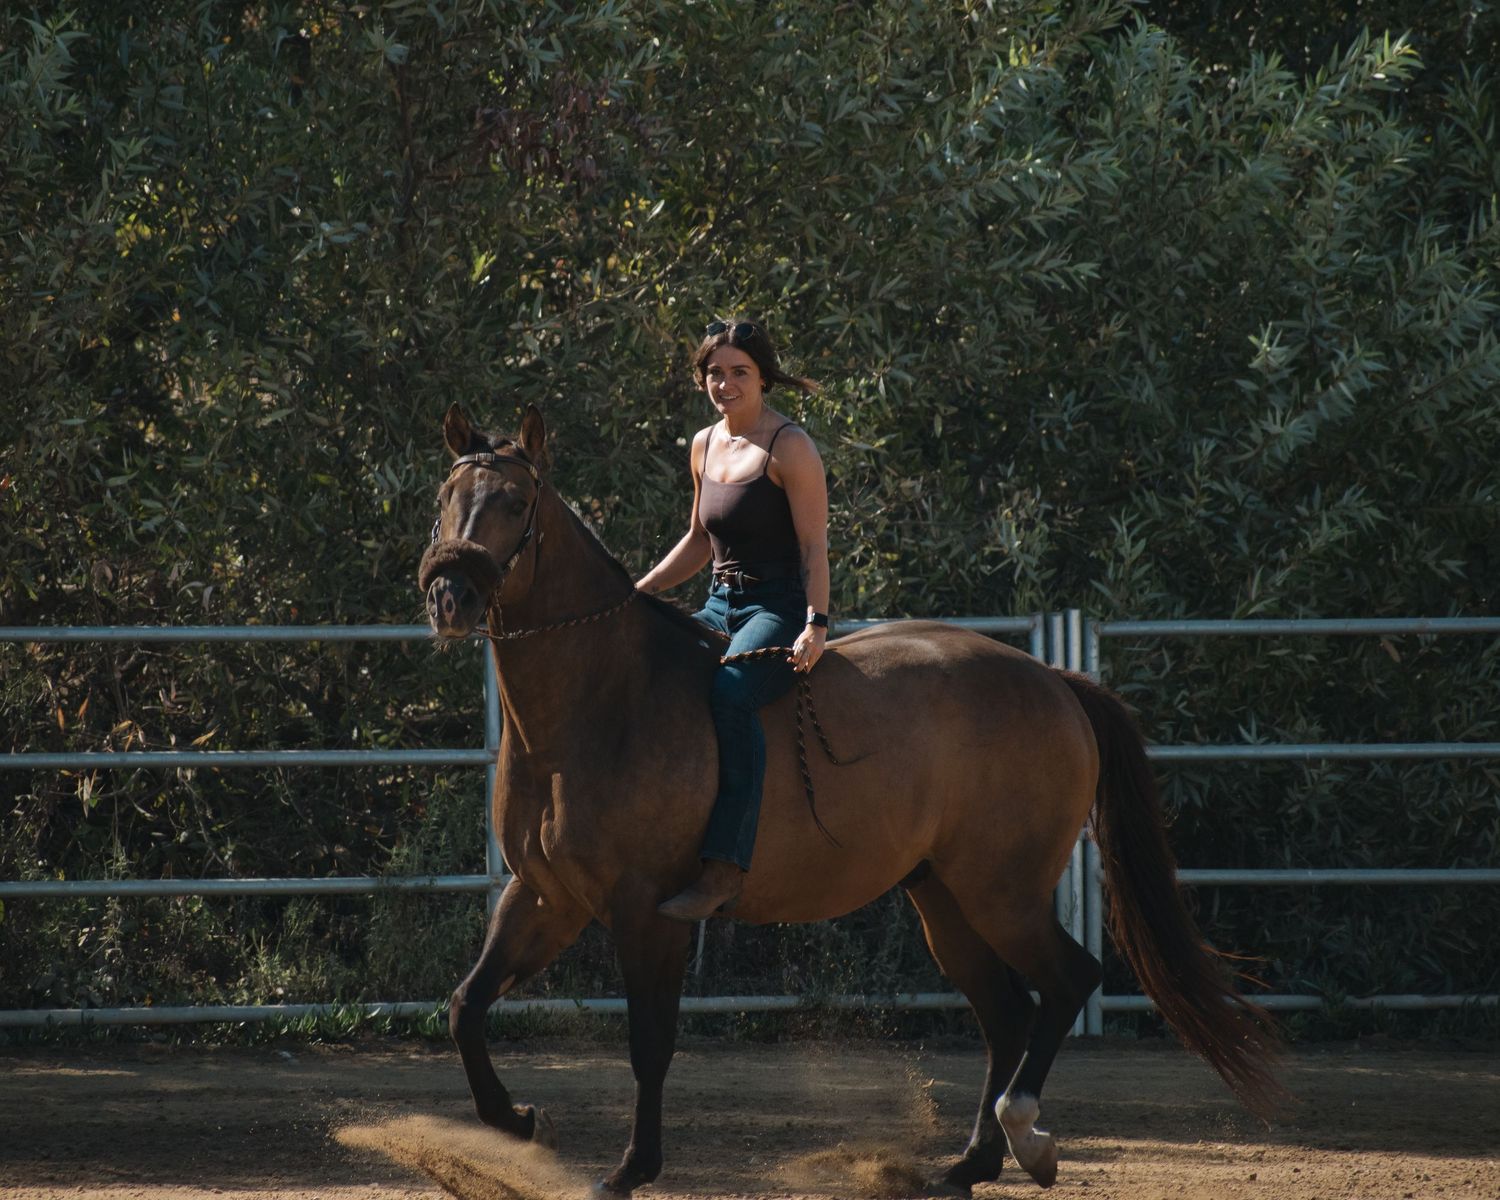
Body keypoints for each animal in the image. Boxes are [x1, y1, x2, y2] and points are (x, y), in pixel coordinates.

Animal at [417, 403, 1280, 1196]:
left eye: (516, 502)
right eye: (446, 495)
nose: (450, 596)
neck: (603, 700)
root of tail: (1054, 682)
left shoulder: (646, 912)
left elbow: (649, 1043)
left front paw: (629, 1169)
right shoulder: (544, 898)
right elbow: (466, 1004)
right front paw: (514, 1120)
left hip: (1002, 892)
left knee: (1068, 981)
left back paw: (1025, 1134)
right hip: (944, 899)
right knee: (1006, 1013)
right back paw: (969, 1162)